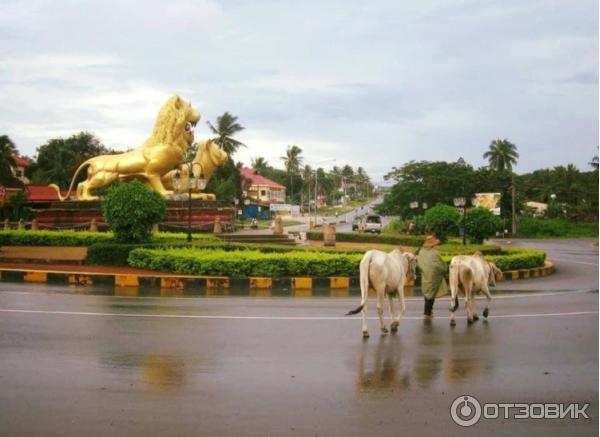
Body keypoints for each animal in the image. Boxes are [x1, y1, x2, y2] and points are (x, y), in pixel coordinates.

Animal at [49, 94, 199, 200]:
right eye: (189, 107)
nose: (200, 114)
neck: (170, 141)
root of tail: (92, 160)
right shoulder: (153, 172)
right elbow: (158, 185)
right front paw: (167, 193)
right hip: (104, 177)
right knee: (85, 185)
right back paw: (90, 198)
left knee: (81, 184)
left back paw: (83, 198)